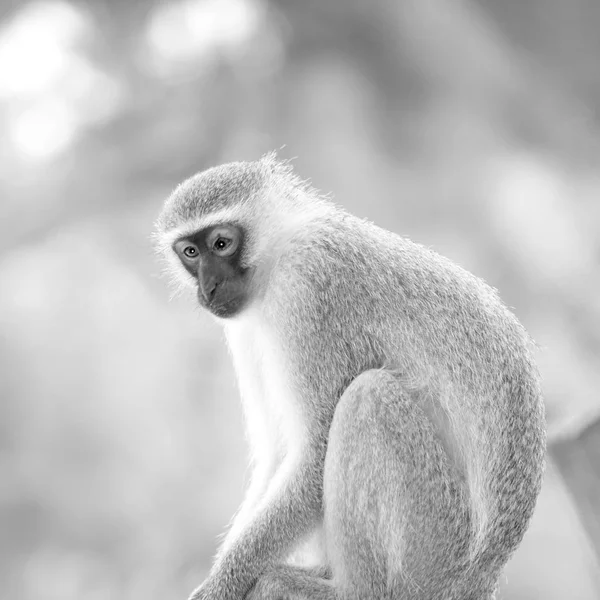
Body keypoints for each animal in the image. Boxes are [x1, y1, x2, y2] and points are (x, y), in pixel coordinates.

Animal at [154, 155, 544, 600]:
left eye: (221, 243)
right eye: (190, 252)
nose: (210, 287)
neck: (282, 247)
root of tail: (479, 580)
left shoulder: (309, 285)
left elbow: (313, 454)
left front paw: (220, 586)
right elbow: (279, 454)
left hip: (434, 548)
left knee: (368, 397)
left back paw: (346, 589)